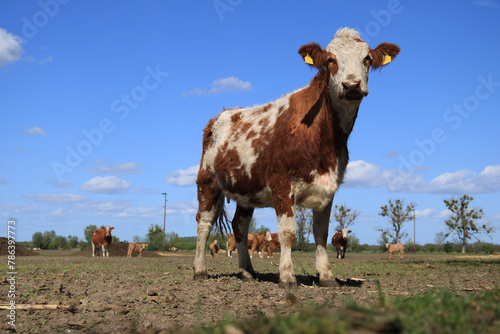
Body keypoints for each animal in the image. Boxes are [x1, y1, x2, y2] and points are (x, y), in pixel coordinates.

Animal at [193, 26, 400, 288]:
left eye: (367, 59)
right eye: (330, 60)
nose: (352, 84)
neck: (327, 139)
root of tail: (222, 115)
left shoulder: (329, 186)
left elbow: (321, 232)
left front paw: (326, 276)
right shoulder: (281, 183)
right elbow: (288, 233)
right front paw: (287, 276)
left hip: (246, 189)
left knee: (239, 225)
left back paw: (247, 271)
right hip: (207, 181)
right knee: (204, 223)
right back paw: (199, 270)